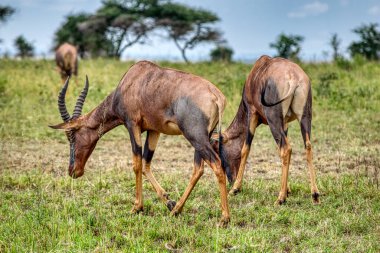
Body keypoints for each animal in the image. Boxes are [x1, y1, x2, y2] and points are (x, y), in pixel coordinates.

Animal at [49, 60, 230, 225]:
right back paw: (177, 209)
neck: (132, 80)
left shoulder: (132, 125)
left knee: (216, 164)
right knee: (198, 169)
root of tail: (217, 96)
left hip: (195, 136)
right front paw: (169, 202)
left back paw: (224, 218)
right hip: (202, 137)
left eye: (72, 136)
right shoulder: (154, 130)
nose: (73, 171)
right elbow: (145, 164)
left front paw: (136, 207)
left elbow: (136, 164)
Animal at [217, 55, 318, 206]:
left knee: (286, 149)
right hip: (305, 116)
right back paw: (315, 195)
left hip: (273, 119)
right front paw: (288, 190)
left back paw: (280, 199)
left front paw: (235, 189)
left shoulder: (252, 113)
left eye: (220, 150)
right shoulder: (285, 123)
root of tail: (294, 78)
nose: (231, 180)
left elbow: (245, 148)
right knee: (307, 146)